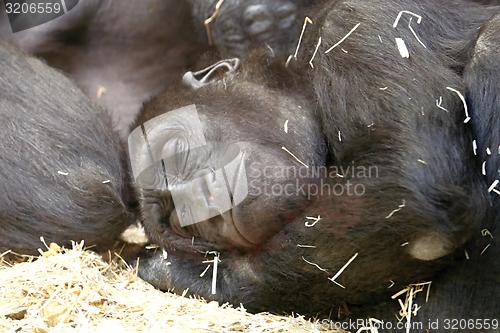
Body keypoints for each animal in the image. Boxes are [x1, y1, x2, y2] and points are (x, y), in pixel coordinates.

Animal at [133, 0, 500, 328]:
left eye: (174, 150)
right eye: (180, 224)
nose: (199, 202)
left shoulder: (355, 22)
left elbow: (409, 185)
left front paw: (197, 276)